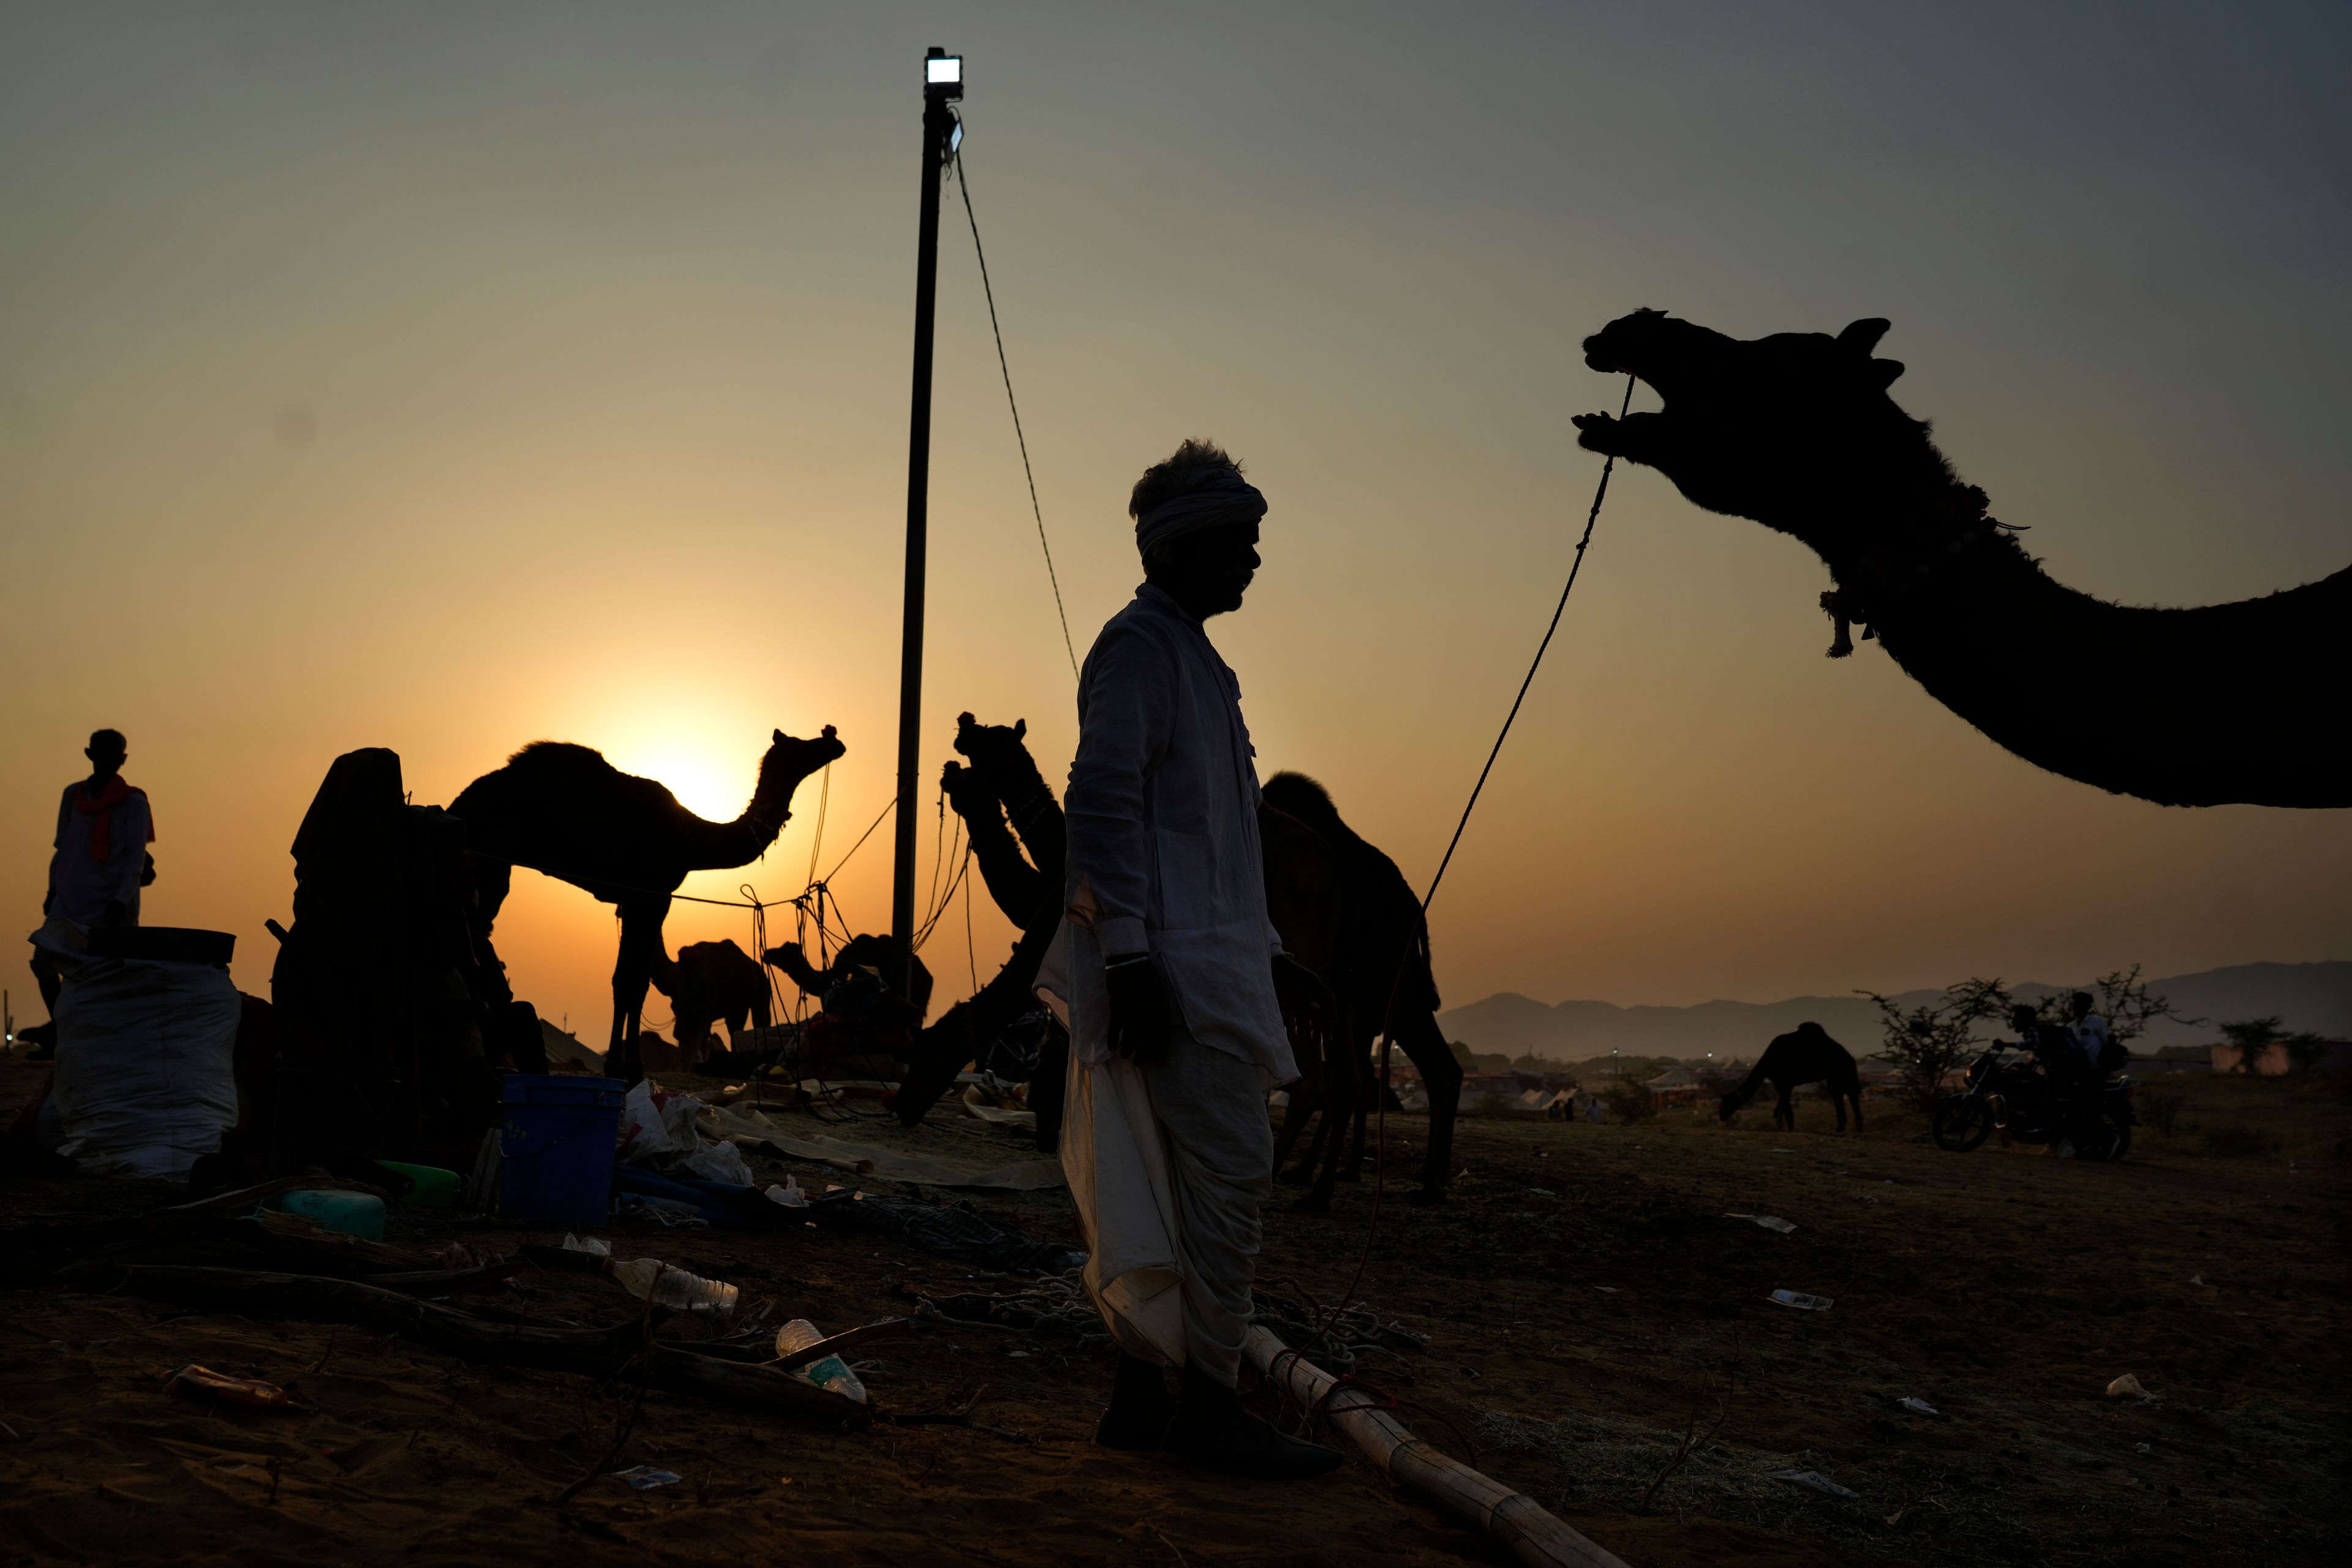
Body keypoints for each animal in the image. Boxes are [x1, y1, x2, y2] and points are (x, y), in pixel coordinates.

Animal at [444, 728, 842, 1081]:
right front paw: (630, 1068)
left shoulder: (632, 900)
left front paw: (617, 1065)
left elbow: (624, 979)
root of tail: (460, 802)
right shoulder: (653, 897)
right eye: (800, 746)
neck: (693, 838)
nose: (834, 741)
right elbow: (633, 982)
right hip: (489, 860)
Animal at [1721, 1025, 1863, 1133]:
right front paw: (1780, 1128)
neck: (1767, 1062)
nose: (1721, 1115)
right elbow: (1779, 1109)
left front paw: (1790, 1129)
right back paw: (1843, 1127)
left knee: (1849, 1094)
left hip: (1842, 1072)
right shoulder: (1784, 1084)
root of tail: (1850, 1057)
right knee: (1841, 1094)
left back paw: (1855, 1127)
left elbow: (1784, 1109)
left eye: (1728, 1102)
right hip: (1836, 1076)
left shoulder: (1783, 1082)